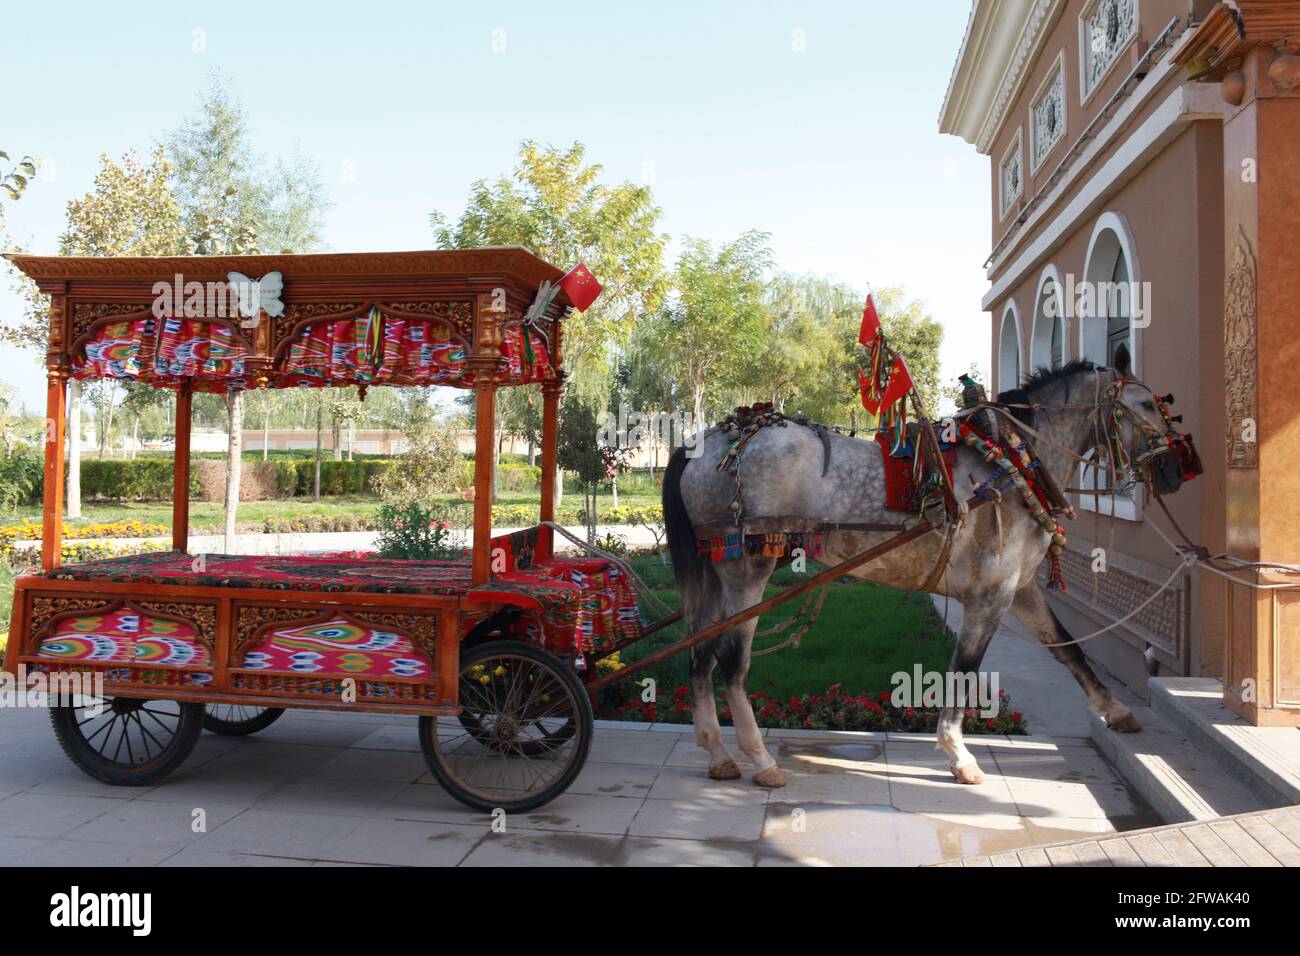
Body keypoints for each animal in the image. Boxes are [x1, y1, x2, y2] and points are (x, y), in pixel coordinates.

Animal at [665, 361, 1190, 790]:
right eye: (1146, 405)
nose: (1177, 466)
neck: (1009, 464)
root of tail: (708, 442)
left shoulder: (1019, 589)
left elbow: (1066, 648)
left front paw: (1115, 709)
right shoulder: (990, 595)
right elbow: (964, 670)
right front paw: (959, 754)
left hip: (715, 575)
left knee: (699, 655)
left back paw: (718, 753)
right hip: (746, 570)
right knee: (731, 662)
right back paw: (760, 759)